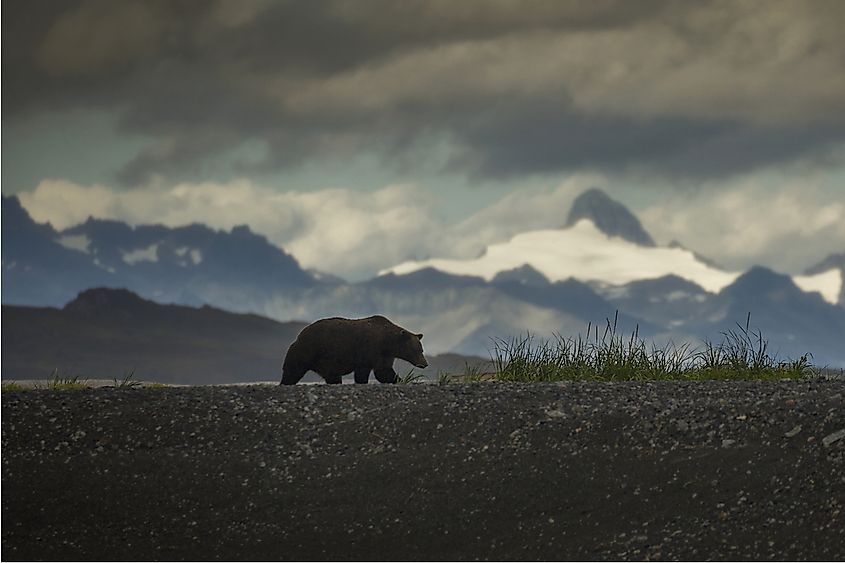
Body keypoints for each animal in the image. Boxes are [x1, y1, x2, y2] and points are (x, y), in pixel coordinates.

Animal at [280, 315, 428, 385]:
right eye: (416, 350)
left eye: (422, 350)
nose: (424, 363)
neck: (387, 343)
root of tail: (299, 336)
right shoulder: (368, 350)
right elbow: (364, 372)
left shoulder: (384, 356)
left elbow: (384, 372)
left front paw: (401, 379)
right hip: (306, 351)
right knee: (292, 371)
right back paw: (285, 382)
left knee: (332, 376)